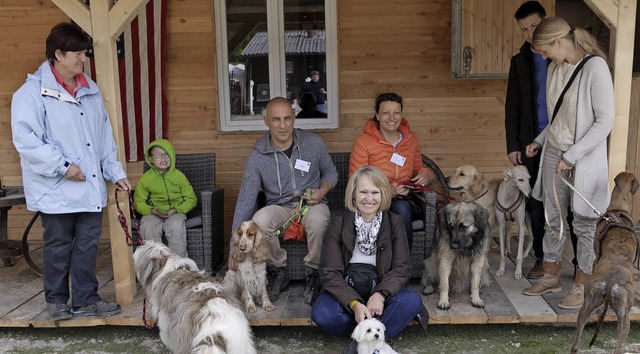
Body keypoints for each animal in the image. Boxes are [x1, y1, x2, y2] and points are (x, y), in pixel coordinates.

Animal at [572, 172, 636, 354]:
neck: (618, 211)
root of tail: (611, 282)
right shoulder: (595, 259)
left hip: (588, 306)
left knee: (576, 344)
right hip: (624, 319)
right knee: (618, 347)